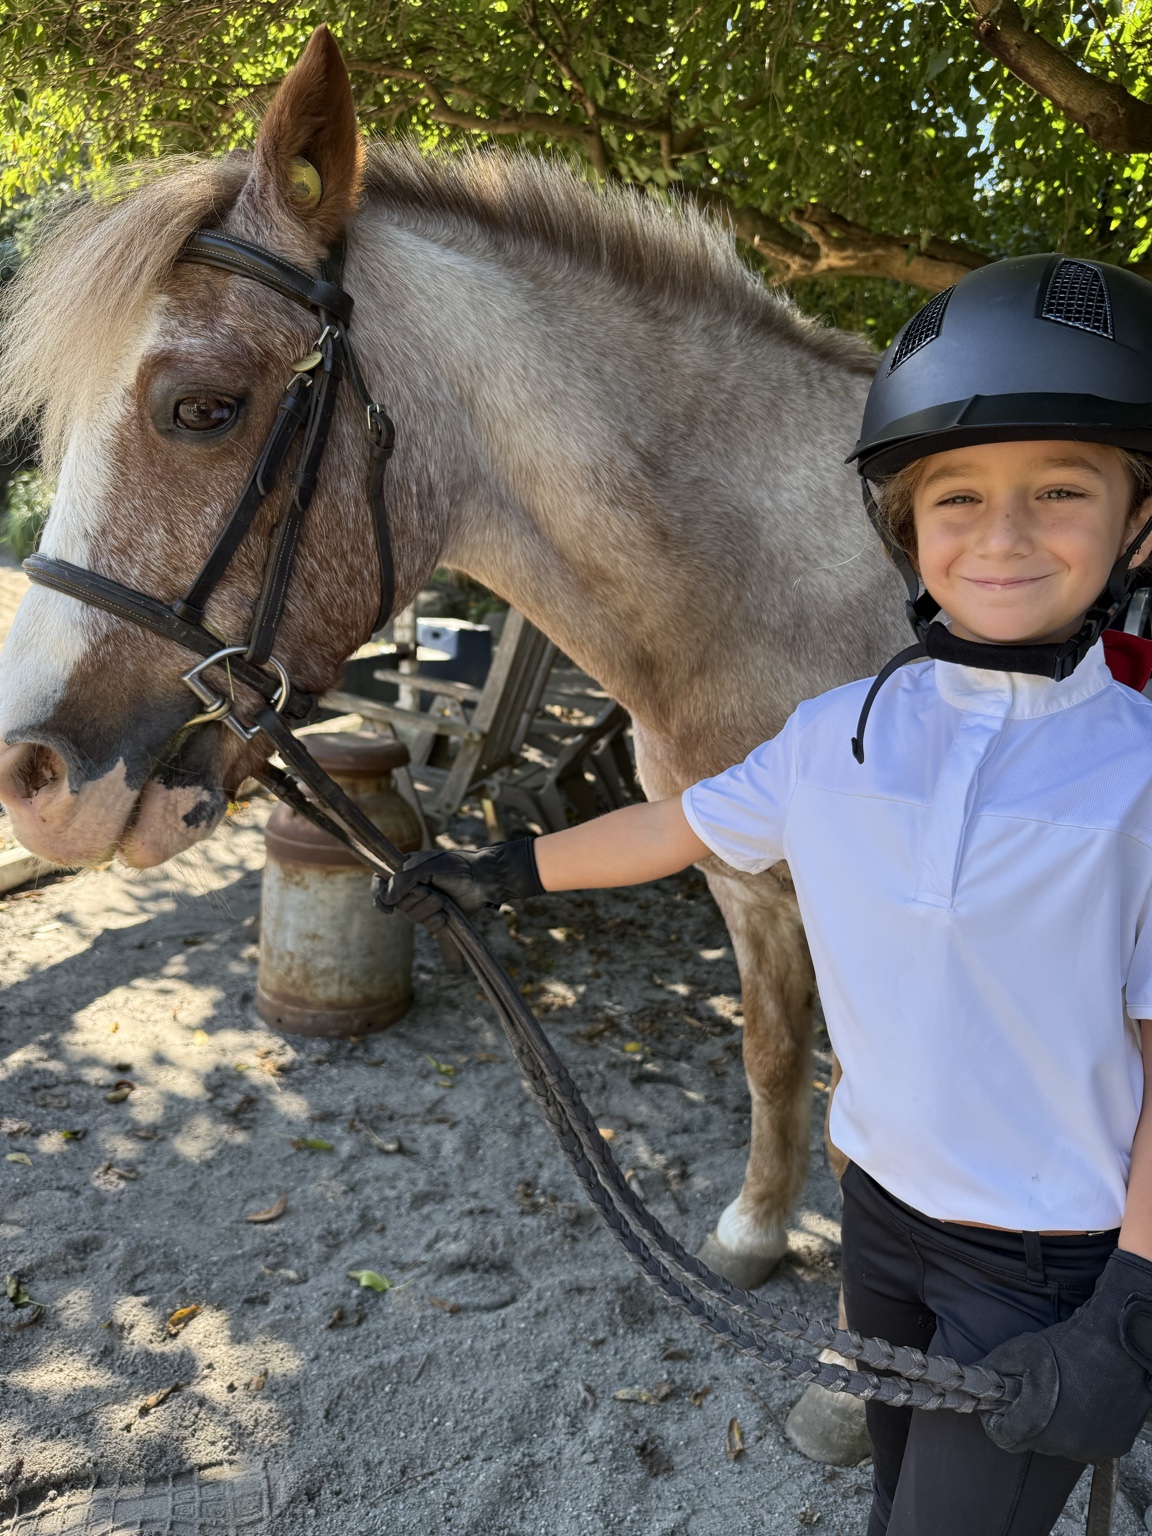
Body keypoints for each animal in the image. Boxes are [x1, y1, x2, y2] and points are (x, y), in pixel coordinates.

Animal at [0, 27, 904, 1423]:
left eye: (202, 407)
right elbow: (769, 1056)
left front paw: (863, 1389)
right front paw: (755, 1237)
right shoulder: (739, 874)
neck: (784, 586)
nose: (28, 774)